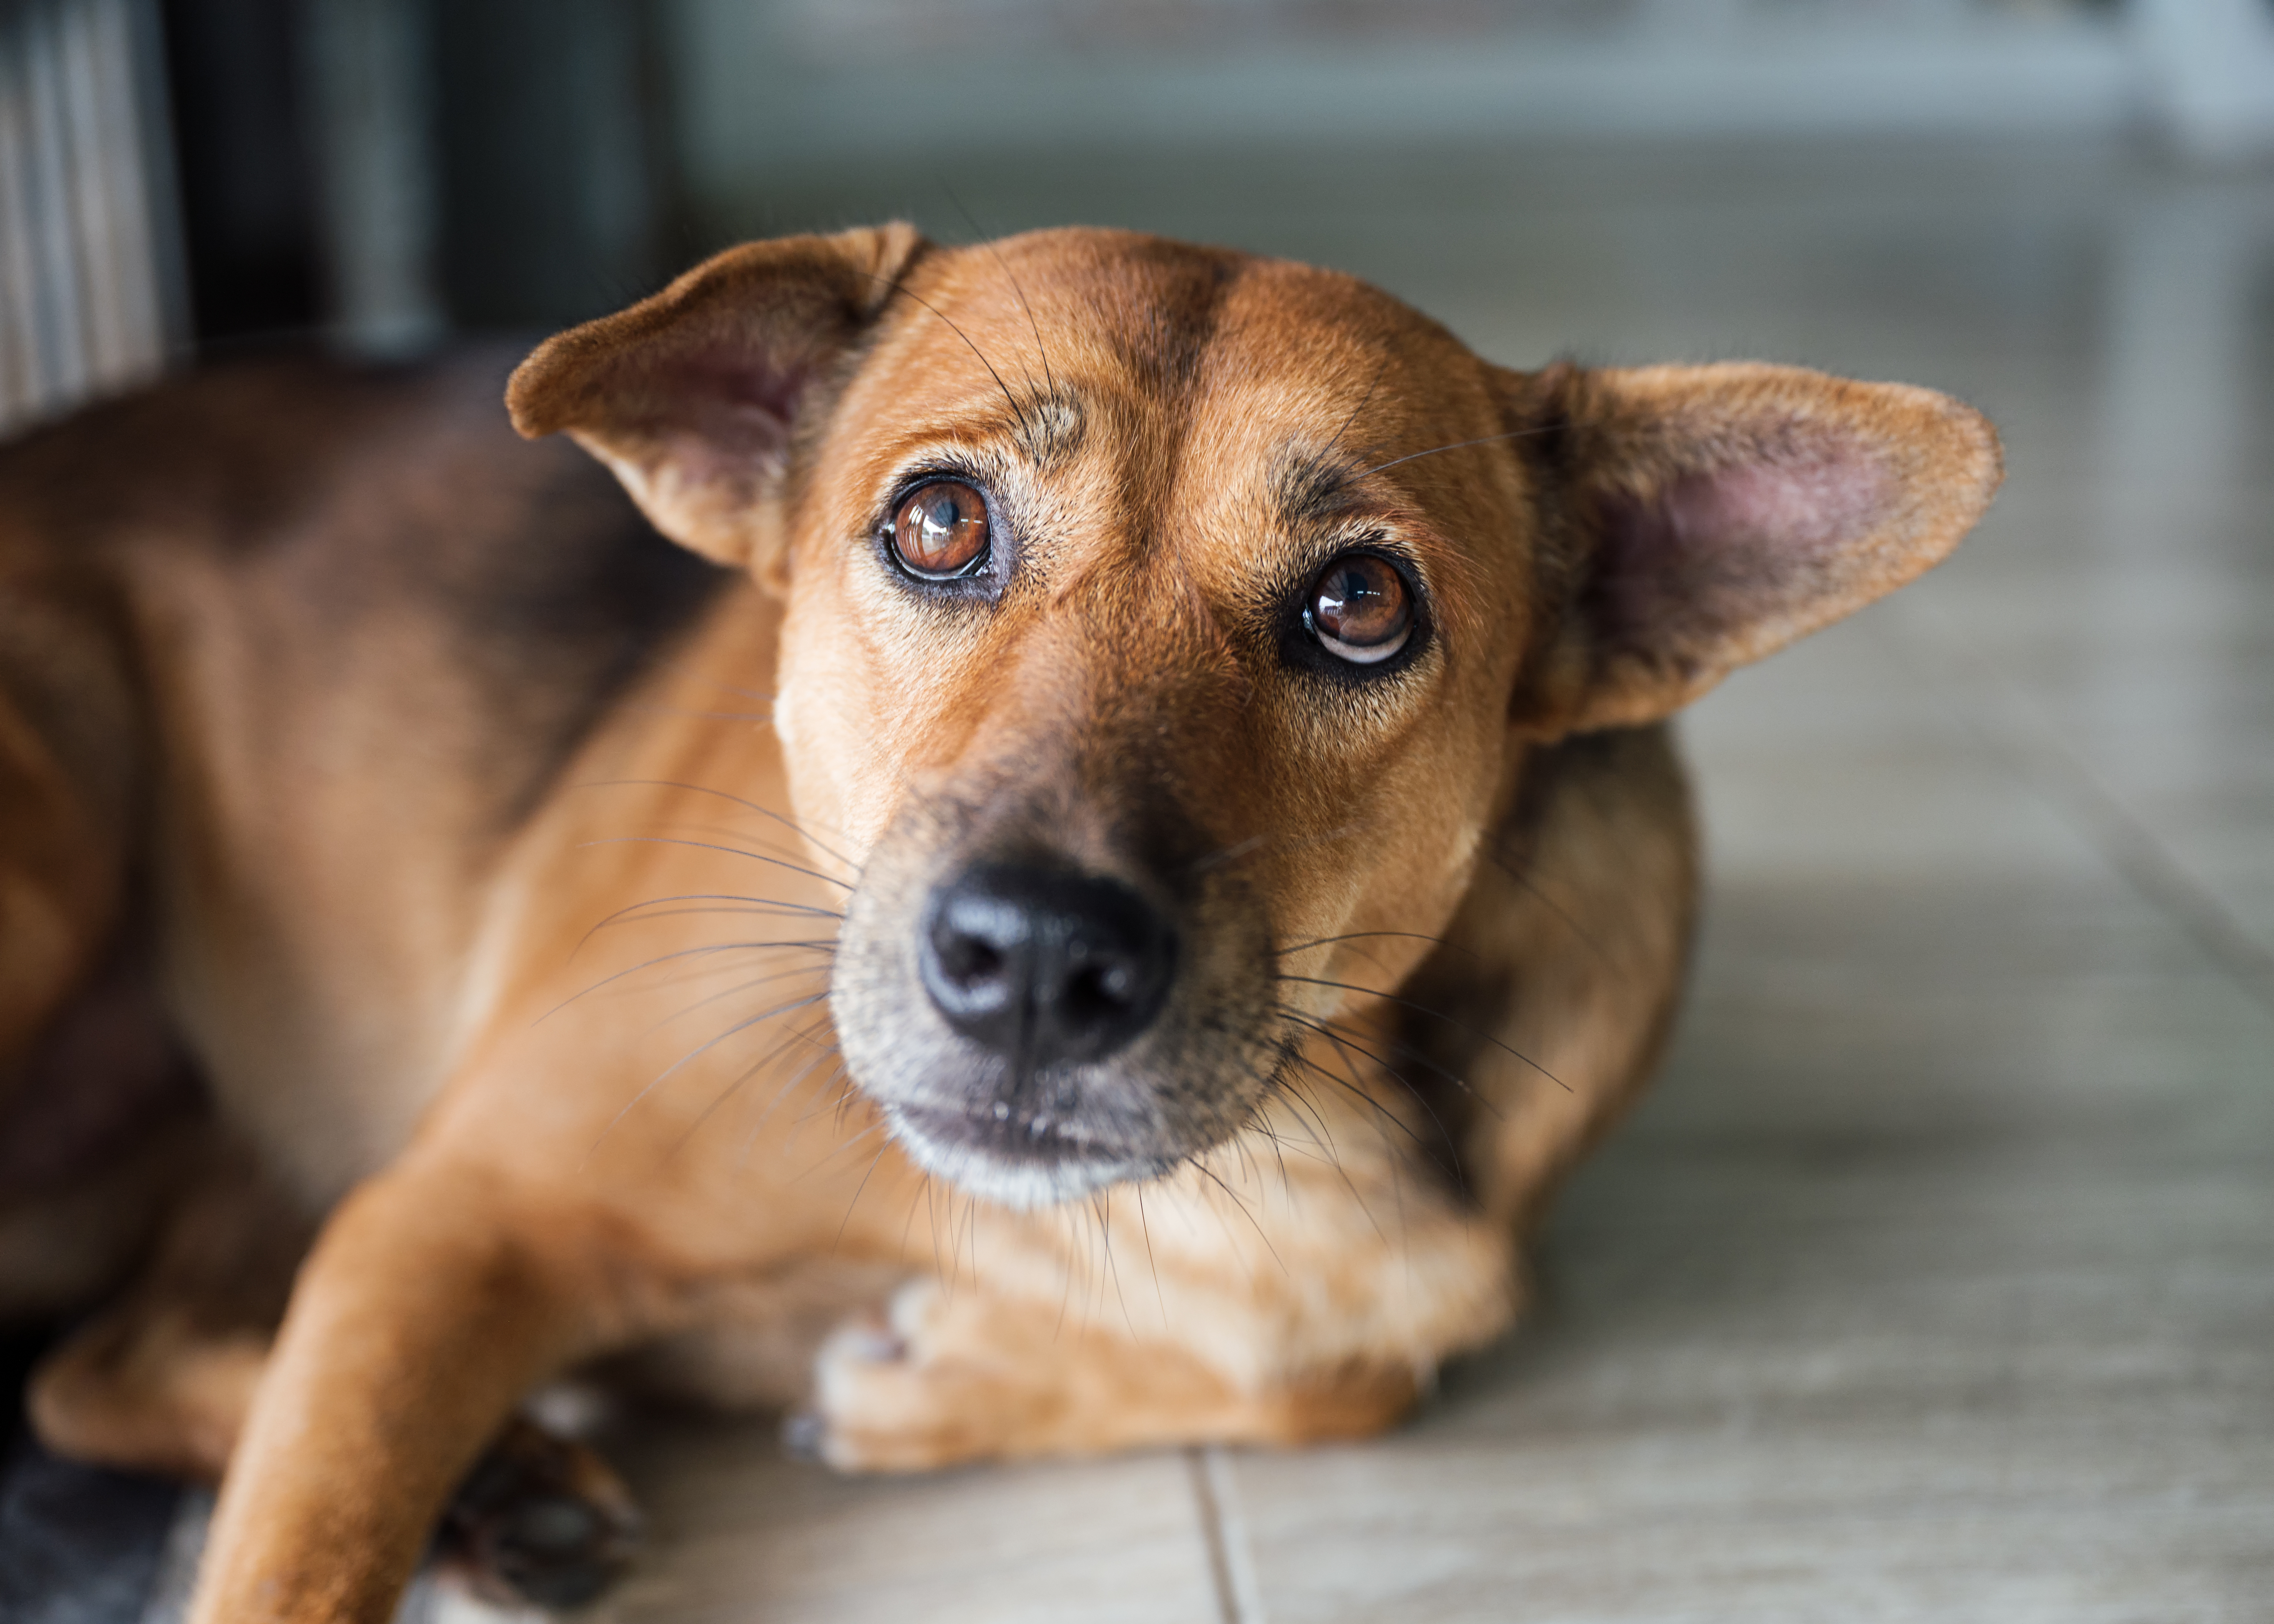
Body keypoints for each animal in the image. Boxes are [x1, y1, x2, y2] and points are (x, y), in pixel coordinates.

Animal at [0, 221, 1992, 1610]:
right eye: (940, 525)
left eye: (1360, 606)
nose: (1036, 959)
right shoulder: (450, 1213)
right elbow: (301, 1536)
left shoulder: (1397, 1280)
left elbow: (1341, 1374)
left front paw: (942, 1377)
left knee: (97, 1369)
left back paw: (506, 1486)